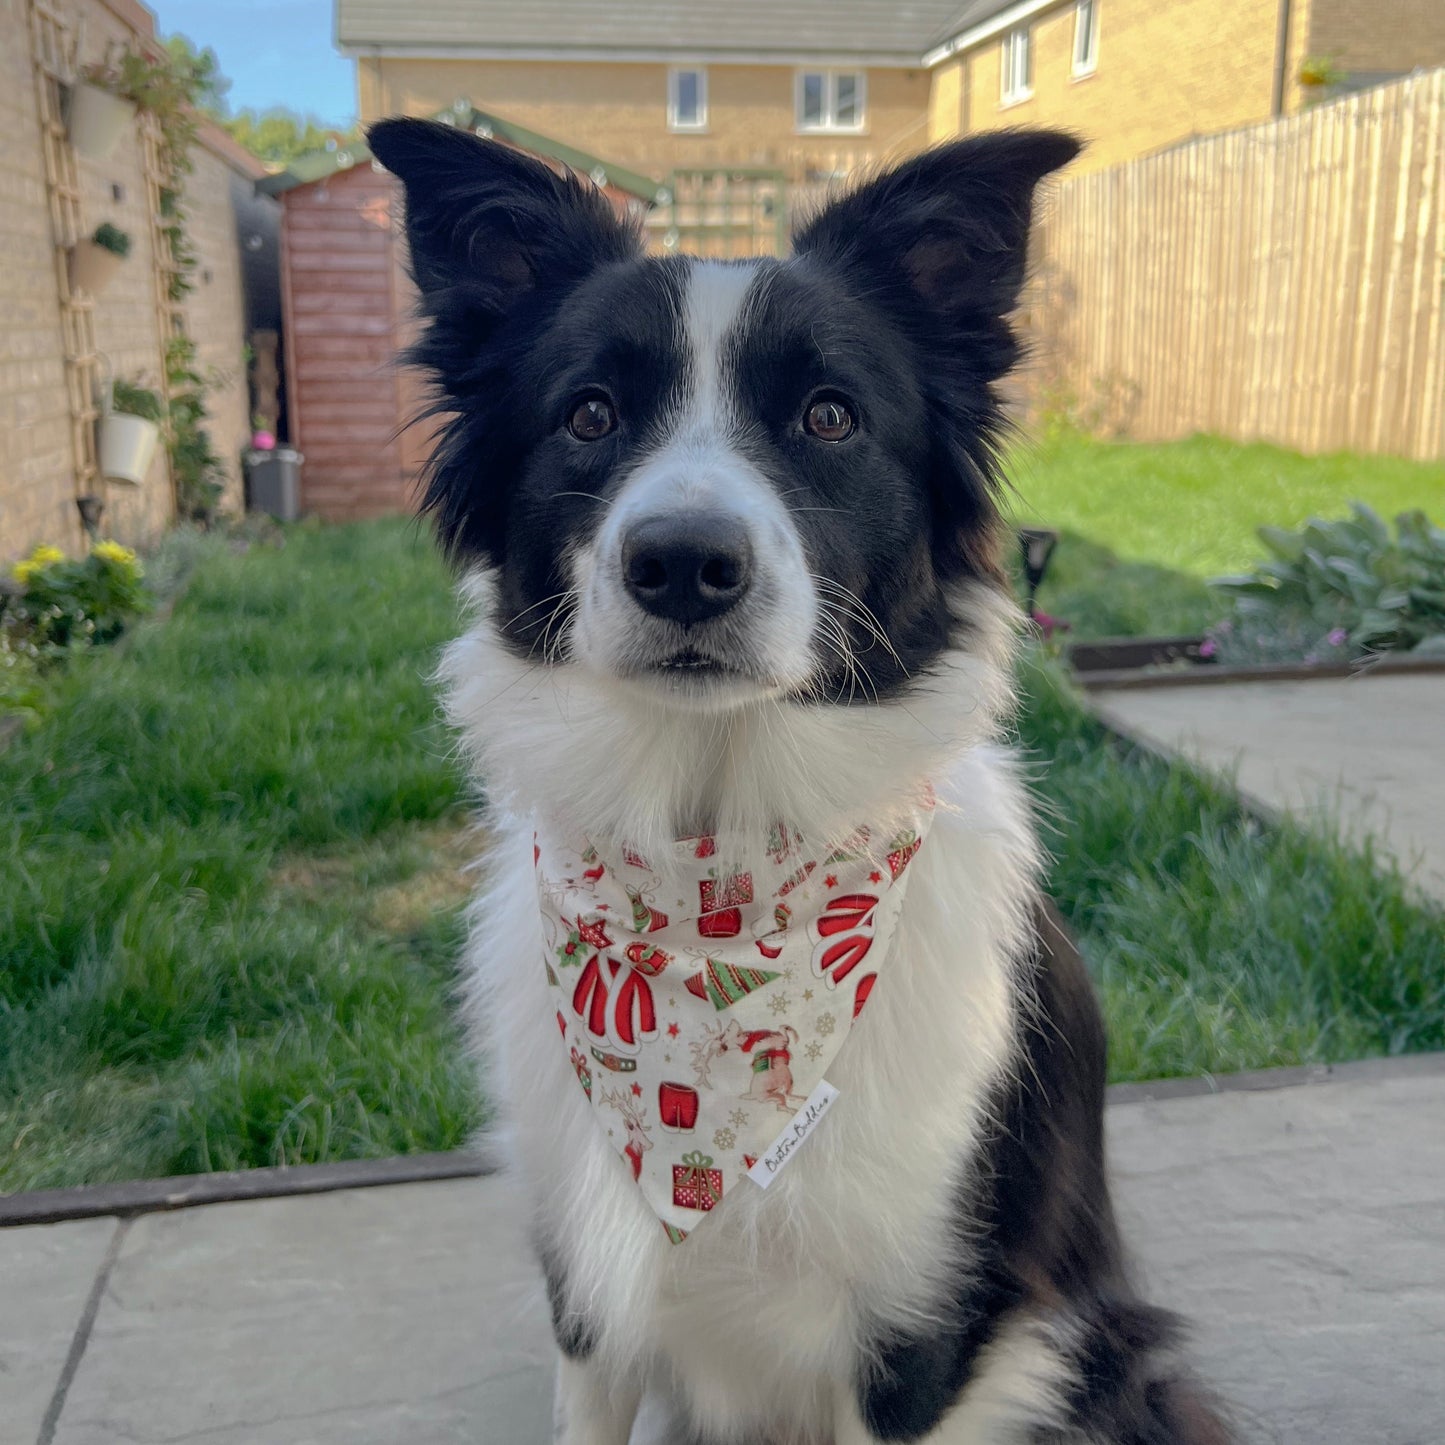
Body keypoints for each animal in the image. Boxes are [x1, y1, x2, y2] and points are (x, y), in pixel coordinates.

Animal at [369, 121, 1231, 1445]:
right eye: (588, 413)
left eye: (829, 416)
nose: (683, 563)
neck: (716, 864)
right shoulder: (584, 1296)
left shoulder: (918, 1333)